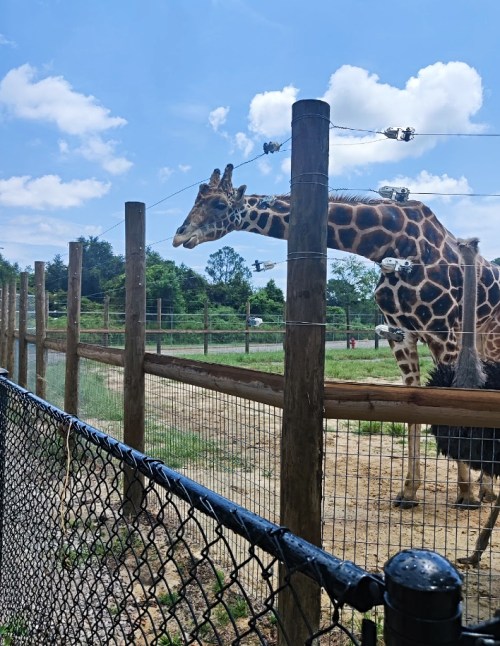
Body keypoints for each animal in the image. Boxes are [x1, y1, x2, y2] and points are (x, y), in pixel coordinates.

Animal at [173, 163, 500, 509]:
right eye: (197, 198)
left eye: (219, 204)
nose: (180, 235)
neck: (390, 244)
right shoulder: (401, 335)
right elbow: (414, 405)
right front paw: (409, 492)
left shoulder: (443, 330)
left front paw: (465, 495)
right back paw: (487, 486)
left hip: (488, 336)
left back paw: (485, 489)